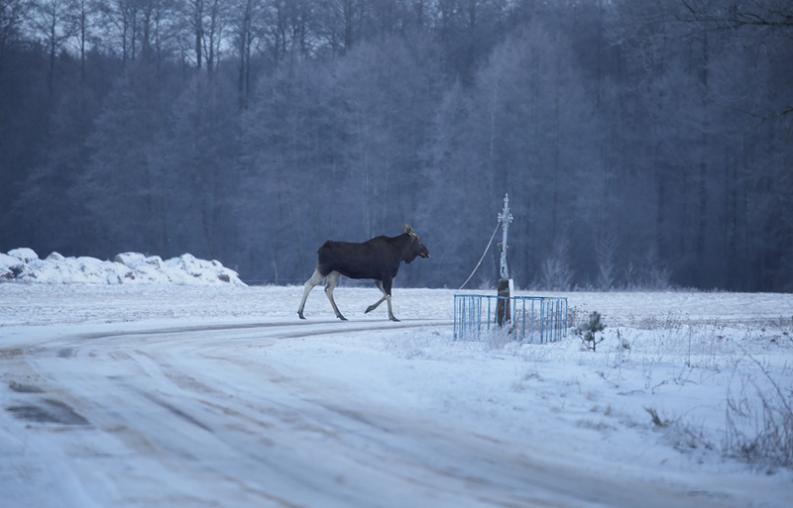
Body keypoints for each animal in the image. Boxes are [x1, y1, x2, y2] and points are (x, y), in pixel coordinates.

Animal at [296, 223, 430, 320]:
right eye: (418, 240)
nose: (427, 252)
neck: (400, 253)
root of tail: (321, 248)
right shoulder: (386, 275)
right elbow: (388, 295)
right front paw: (392, 316)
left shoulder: (378, 278)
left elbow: (385, 294)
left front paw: (369, 308)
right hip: (324, 268)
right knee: (309, 284)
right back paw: (301, 313)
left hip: (334, 272)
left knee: (328, 289)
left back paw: (340, 315)